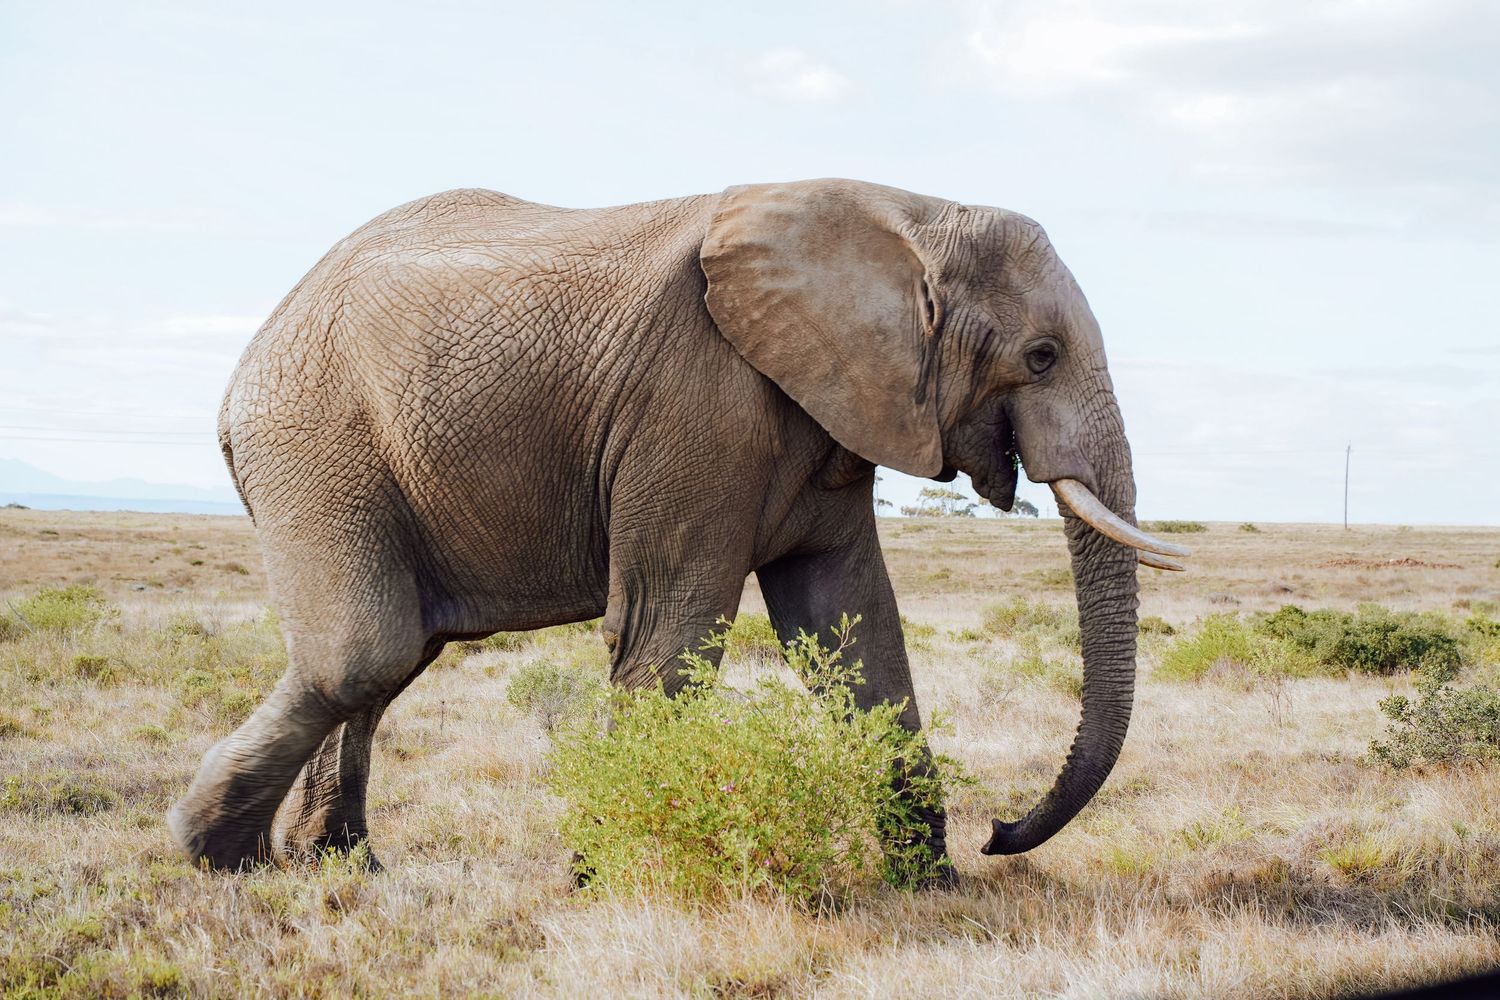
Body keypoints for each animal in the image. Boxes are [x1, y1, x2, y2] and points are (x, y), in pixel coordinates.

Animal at [168, 178, 1189, 875]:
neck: (907, 211)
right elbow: (672, 626)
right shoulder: (697, 401)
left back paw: (334, 867)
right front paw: (602, 879)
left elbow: (851, 627)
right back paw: (215, 853)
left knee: (386, 663)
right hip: (316, 443)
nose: (999, 833)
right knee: (364, 655)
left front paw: (928, 885)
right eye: (1042, 356)